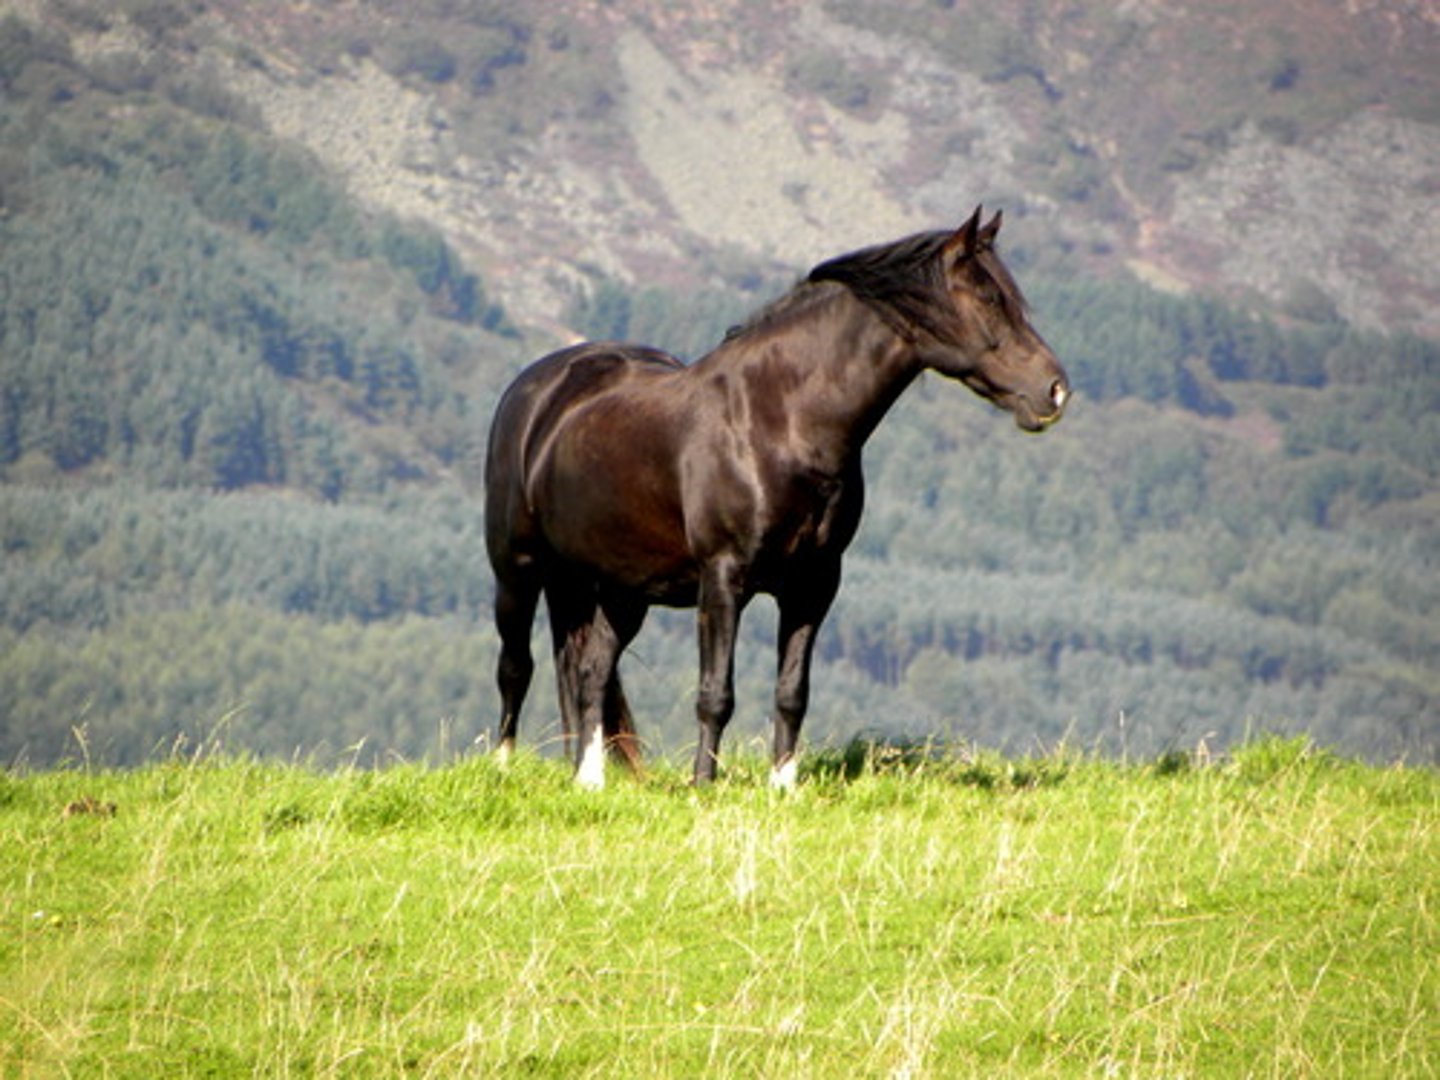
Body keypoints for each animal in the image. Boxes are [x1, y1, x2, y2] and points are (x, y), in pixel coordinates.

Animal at [484, 207, 1069, 788]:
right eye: (989, 299)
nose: (1055, 390)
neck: (779, 422)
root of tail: (540, 387)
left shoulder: (814, 582)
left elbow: (792, 693)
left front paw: (783, 787)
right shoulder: (723, 579)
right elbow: (715, 694)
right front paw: (702, 786)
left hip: (618, 588)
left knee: (590, 670)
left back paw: (589, 778)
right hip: (518, 570)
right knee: (516, 666)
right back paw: (503, 766)